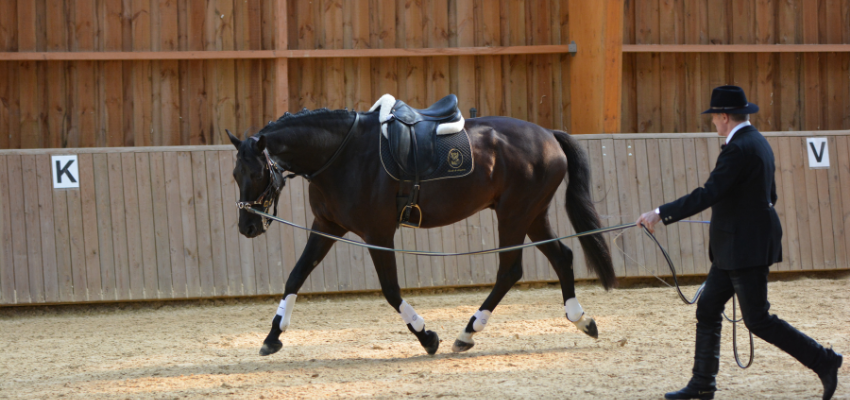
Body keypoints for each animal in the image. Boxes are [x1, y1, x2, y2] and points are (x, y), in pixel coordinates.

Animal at [225, 104, 612, 356]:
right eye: (234, 174)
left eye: (257, 173)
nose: (247, 226)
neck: (342, 153)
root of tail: (549, 136)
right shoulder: (326, 226)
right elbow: (296, 275)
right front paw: (272, 336)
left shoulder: (378, 234)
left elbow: (390, 289)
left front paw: (427, 337)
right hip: (531, 215)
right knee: (561, 257)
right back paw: (582, 320)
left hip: (515, 215)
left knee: (510, 270)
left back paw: (467, 332)